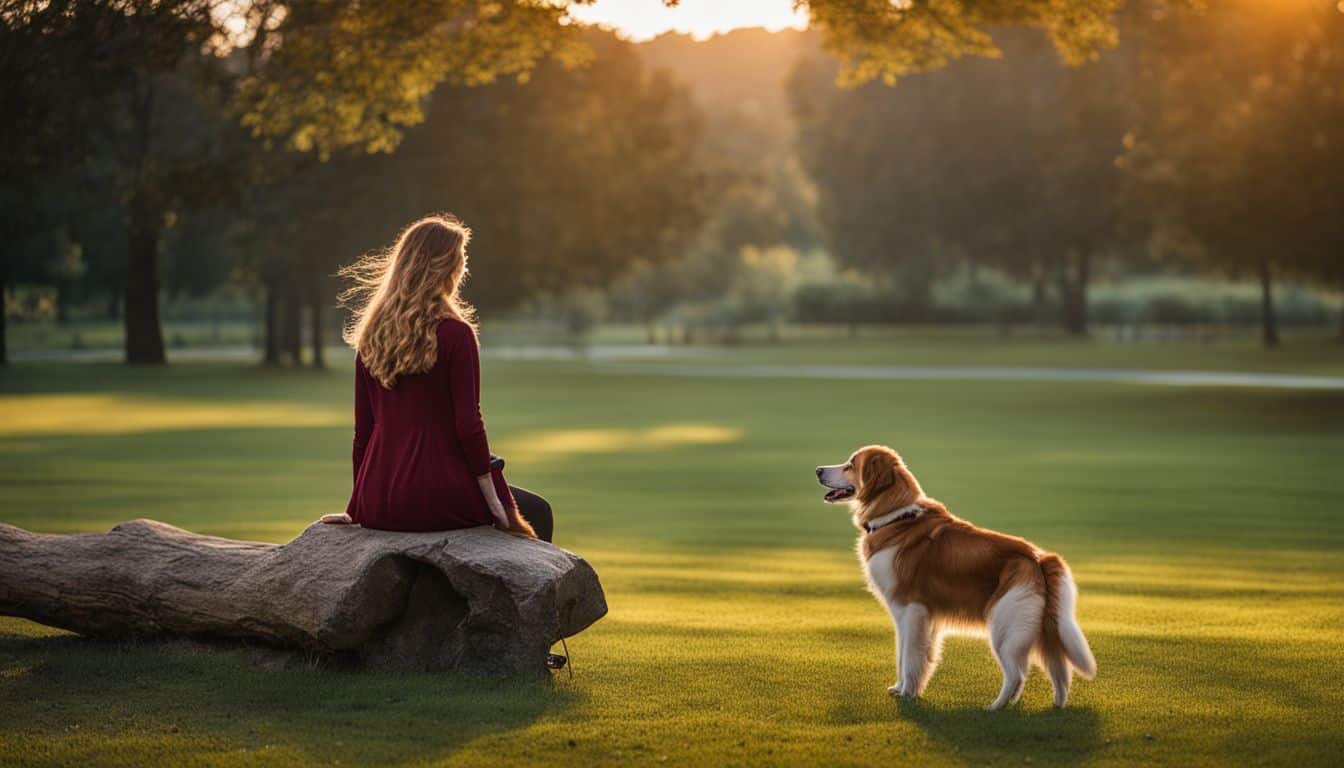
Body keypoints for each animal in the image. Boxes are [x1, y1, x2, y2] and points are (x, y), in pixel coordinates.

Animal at [811, 446, 1096, 710]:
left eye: (850, 465)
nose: (817, 470)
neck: (895, 519)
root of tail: (1037, 557)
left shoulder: (911, 611)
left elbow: (908, 658)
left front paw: (907, 693)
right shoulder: (910, 617)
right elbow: (907, 656)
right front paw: (903, 688)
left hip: (1005, 628)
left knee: (1017, 674)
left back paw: (995, 708)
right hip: (1046, 631)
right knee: (1060, 672)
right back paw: (1055, 709)